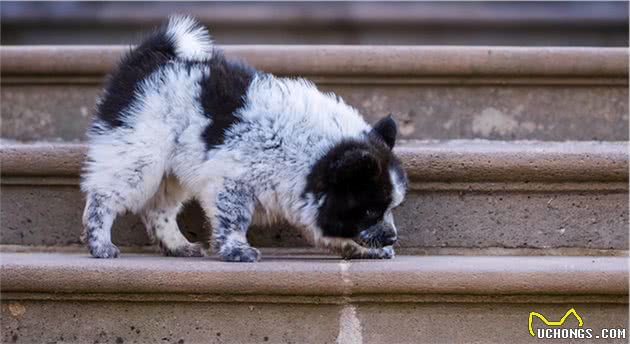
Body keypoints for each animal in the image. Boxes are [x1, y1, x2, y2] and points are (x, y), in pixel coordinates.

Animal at [80, 16, 410, 262]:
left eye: (390, 208)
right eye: (370, 210)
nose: (392, 236)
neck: (308, 153)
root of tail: (147, 62)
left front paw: (362, 249)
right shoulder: (232, 182)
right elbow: (234, 219)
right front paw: (237, 250)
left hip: (170, 172)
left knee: (158, 210)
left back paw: (178, 245)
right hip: (139, 158)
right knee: (103, 199)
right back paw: (100, 244)